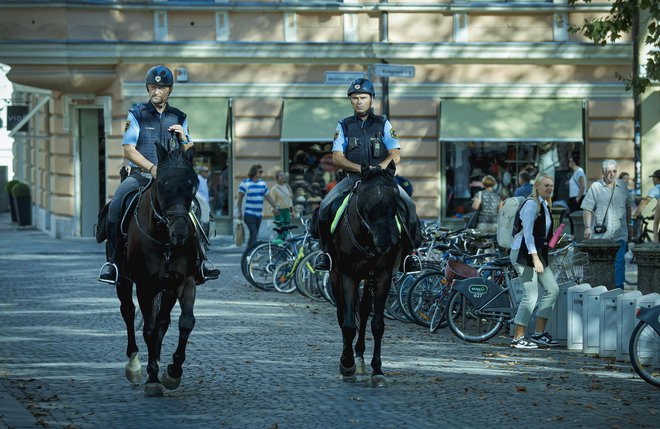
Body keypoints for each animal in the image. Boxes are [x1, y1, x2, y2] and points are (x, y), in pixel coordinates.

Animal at [114, 145, 200, 398]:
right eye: (162, 183)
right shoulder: (144, 285)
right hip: (123, 281)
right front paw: (152, 379)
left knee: (163, 322)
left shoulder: (183, 281)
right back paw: (134, 365)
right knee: (128, 313)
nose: (180, 233)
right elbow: (149, 330)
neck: (164, 241)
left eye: (193, 183)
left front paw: (172, 372)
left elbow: (185, 322)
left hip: (166, 290)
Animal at [330, 160, 402, 388]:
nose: (386, 240)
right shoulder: (348, 276)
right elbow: (348, 324)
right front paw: (347, 364)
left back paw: (360, 356)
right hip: (335, 275)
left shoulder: (383, 278)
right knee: (342, 313)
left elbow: (377, 324)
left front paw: (377, 370)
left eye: (395, 194)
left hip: (368, 280)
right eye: (364, 196)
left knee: (363, 311)